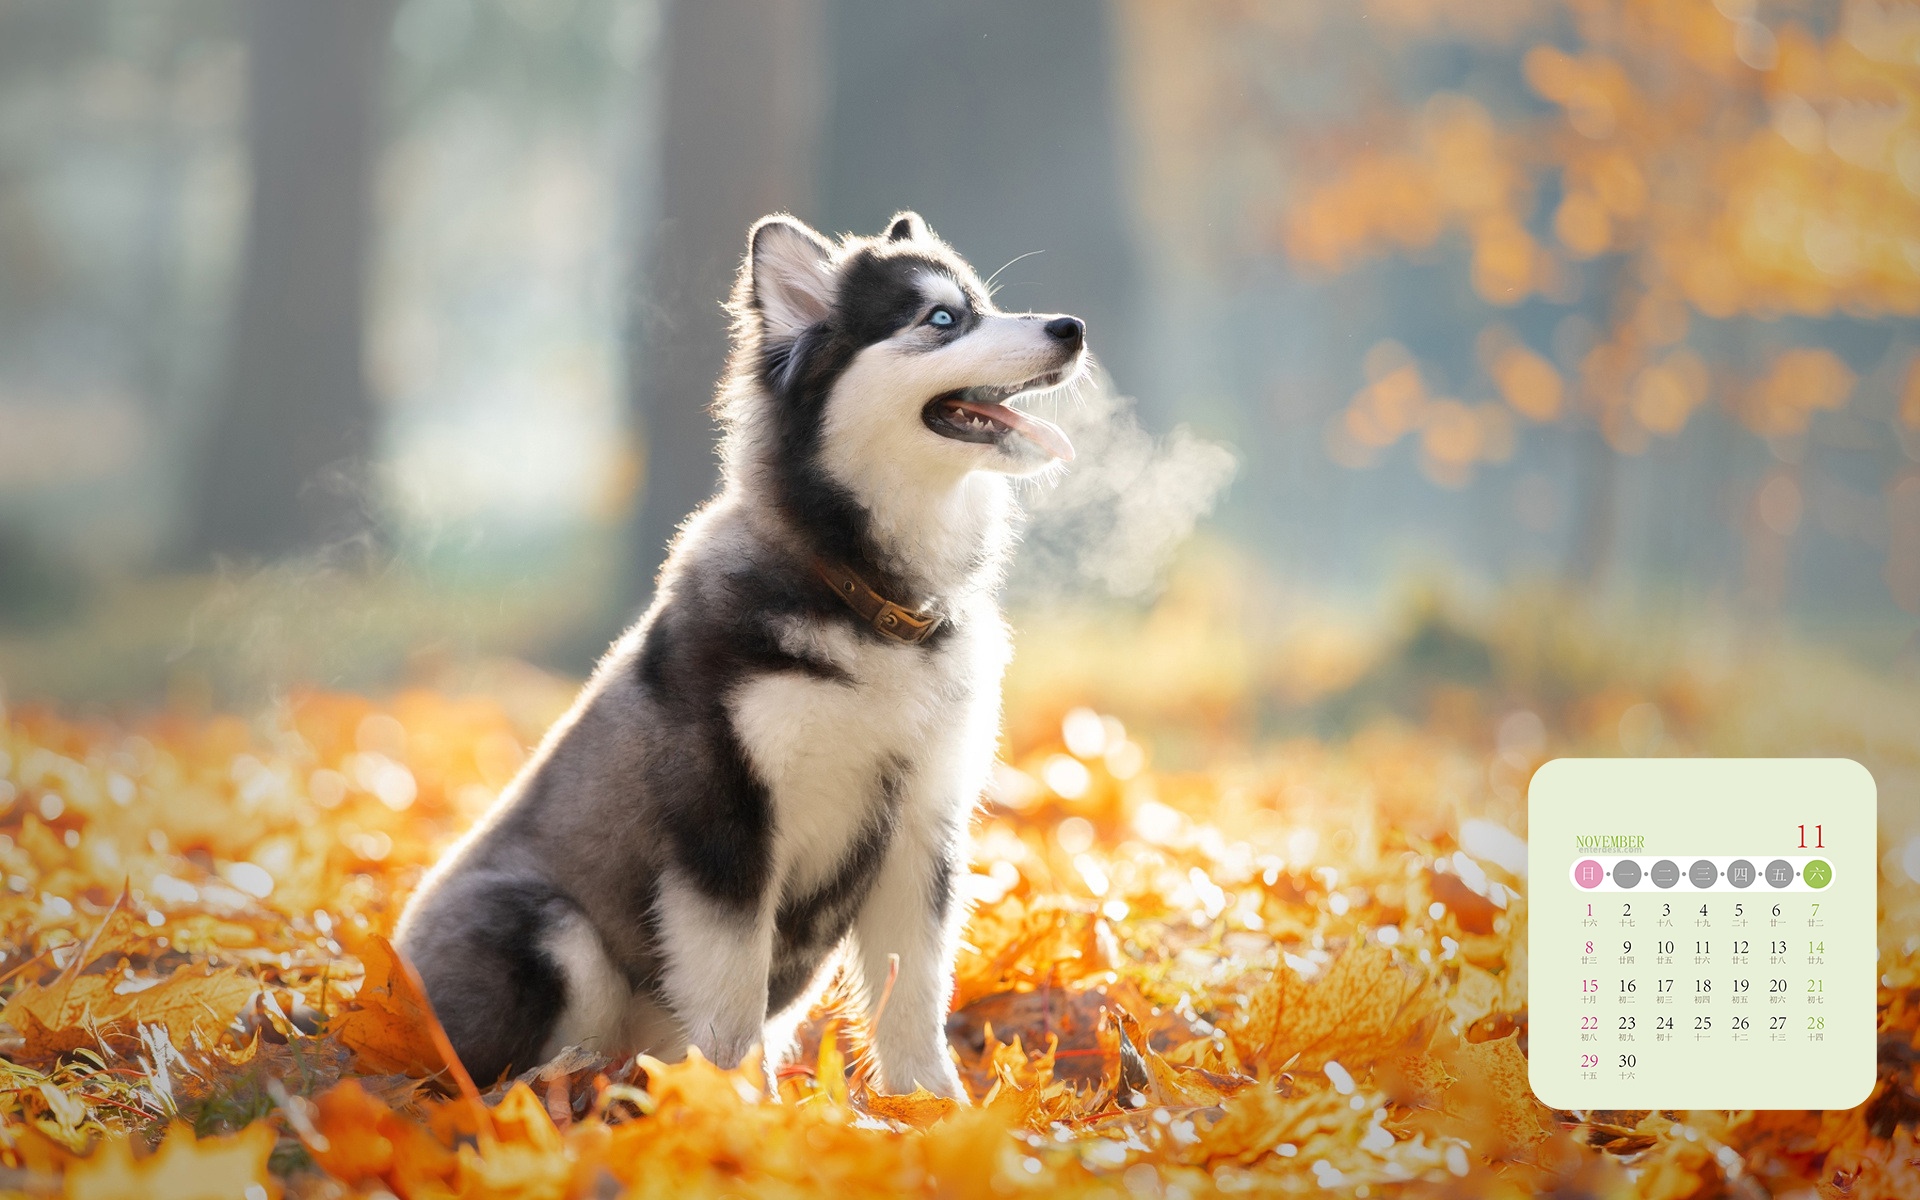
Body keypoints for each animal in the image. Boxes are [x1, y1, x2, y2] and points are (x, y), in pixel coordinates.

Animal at [393, 208, 1082, 1098]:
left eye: (985, 304)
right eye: (940, 319)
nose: (1072, 327)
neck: (868, 599)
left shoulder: (923, 823)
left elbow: (916, 994)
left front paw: (933, 1108)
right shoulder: (724, 826)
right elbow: (729, 997)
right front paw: (740, 1108)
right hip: (546, 930)